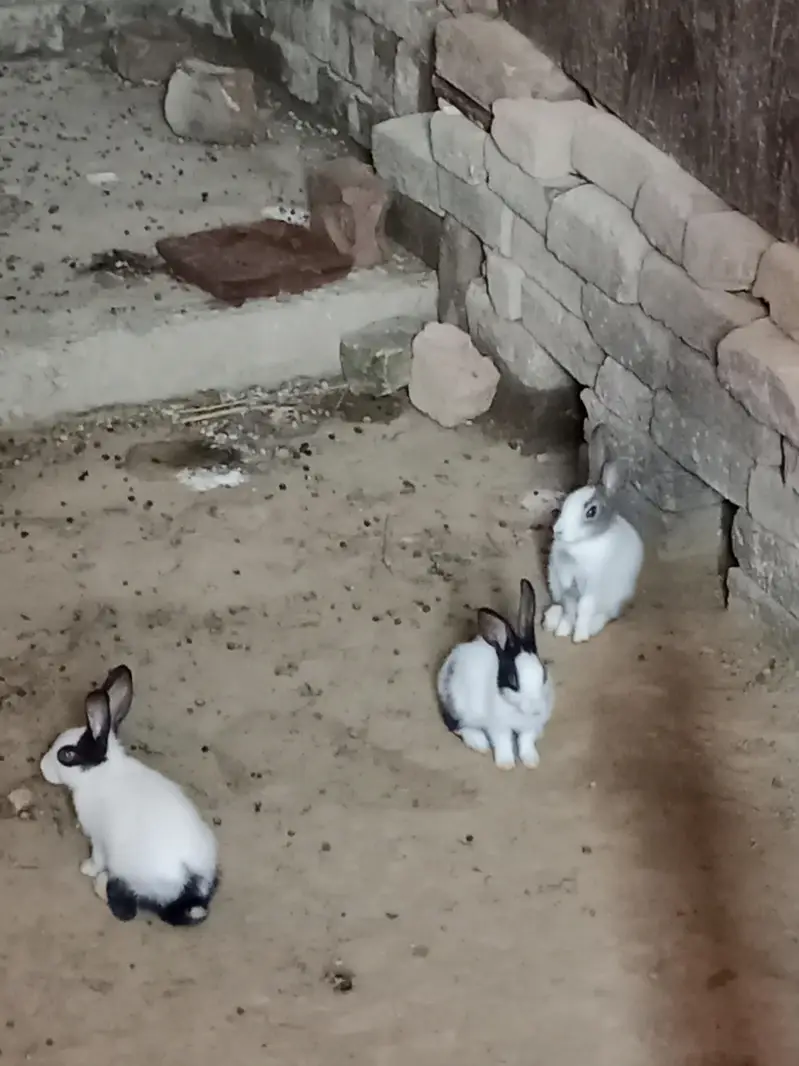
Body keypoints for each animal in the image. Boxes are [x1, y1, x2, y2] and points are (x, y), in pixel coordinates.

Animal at [40, 664, 219, 927]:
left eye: (67, 755)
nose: (42, 766)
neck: (100, 774)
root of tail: (191, 890)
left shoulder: (99, 838)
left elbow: (98, 857)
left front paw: (87, 868)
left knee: (129, 909)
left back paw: (101, 885)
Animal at [437, 578, 554, 770]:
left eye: (543, 674)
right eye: (513, 681)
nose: (536, 710)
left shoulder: (529, 727)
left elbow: (526, 741)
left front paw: (531, 761)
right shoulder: (498, 727)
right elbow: (503, 742)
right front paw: (506, 764)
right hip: (458, 706)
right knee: (455, 725)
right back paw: (479, 743)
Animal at [543, 427, 644, 644]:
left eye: (591, 512)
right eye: (567, 499)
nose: (558, 530)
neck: (582, 545)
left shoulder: (592, 586)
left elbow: (584, 608)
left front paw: (579, 637)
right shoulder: (566, 580)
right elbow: (569, 608)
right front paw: (562, 630)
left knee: (603, 615)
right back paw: (551, 619)